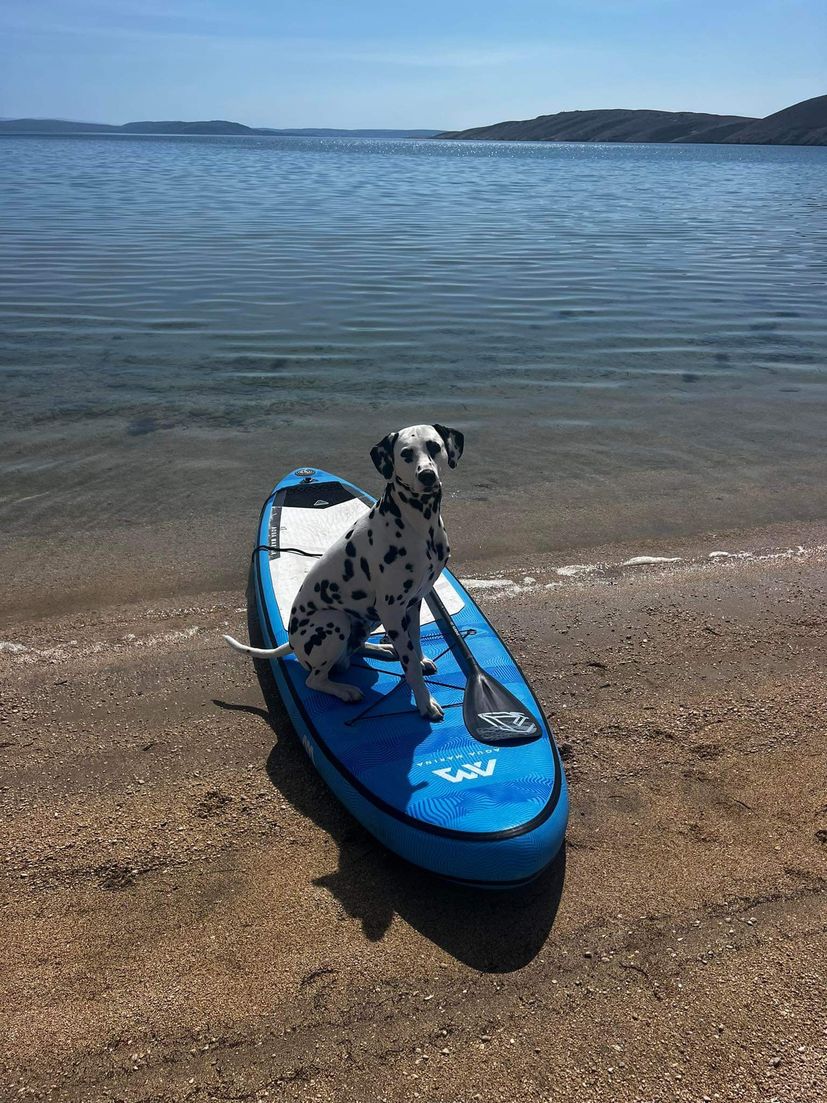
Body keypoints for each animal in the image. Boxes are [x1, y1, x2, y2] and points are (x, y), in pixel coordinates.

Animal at [223, 423, 463, 723]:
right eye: (406, 454)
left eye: (434, 446)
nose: (427, 476)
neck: (419, 523)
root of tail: (291, 643)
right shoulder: (392, 609)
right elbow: (410, 666)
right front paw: (425, 702)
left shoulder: (414, 603)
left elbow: (415, 642)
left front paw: (418, 660)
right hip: (334, 622)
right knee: (315, 679)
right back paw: (345, 690)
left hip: (366, 619)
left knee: (356, 647)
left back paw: (384, 649)